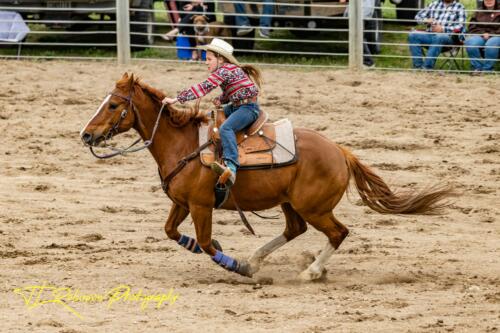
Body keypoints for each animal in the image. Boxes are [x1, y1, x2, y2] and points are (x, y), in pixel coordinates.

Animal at [80, 73, 452, 280]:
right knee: (295, 229)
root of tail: (340, 152)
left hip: (314, 207)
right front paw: (207, 249)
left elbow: (205, 242)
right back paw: (261, 259)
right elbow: (172, 232)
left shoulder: (201, 206)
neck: (183, 145)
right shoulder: (182, 203)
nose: (86, 135)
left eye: (113, 105)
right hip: (291, 203)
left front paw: (234, 265)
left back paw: (310, 271)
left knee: (339, 232)